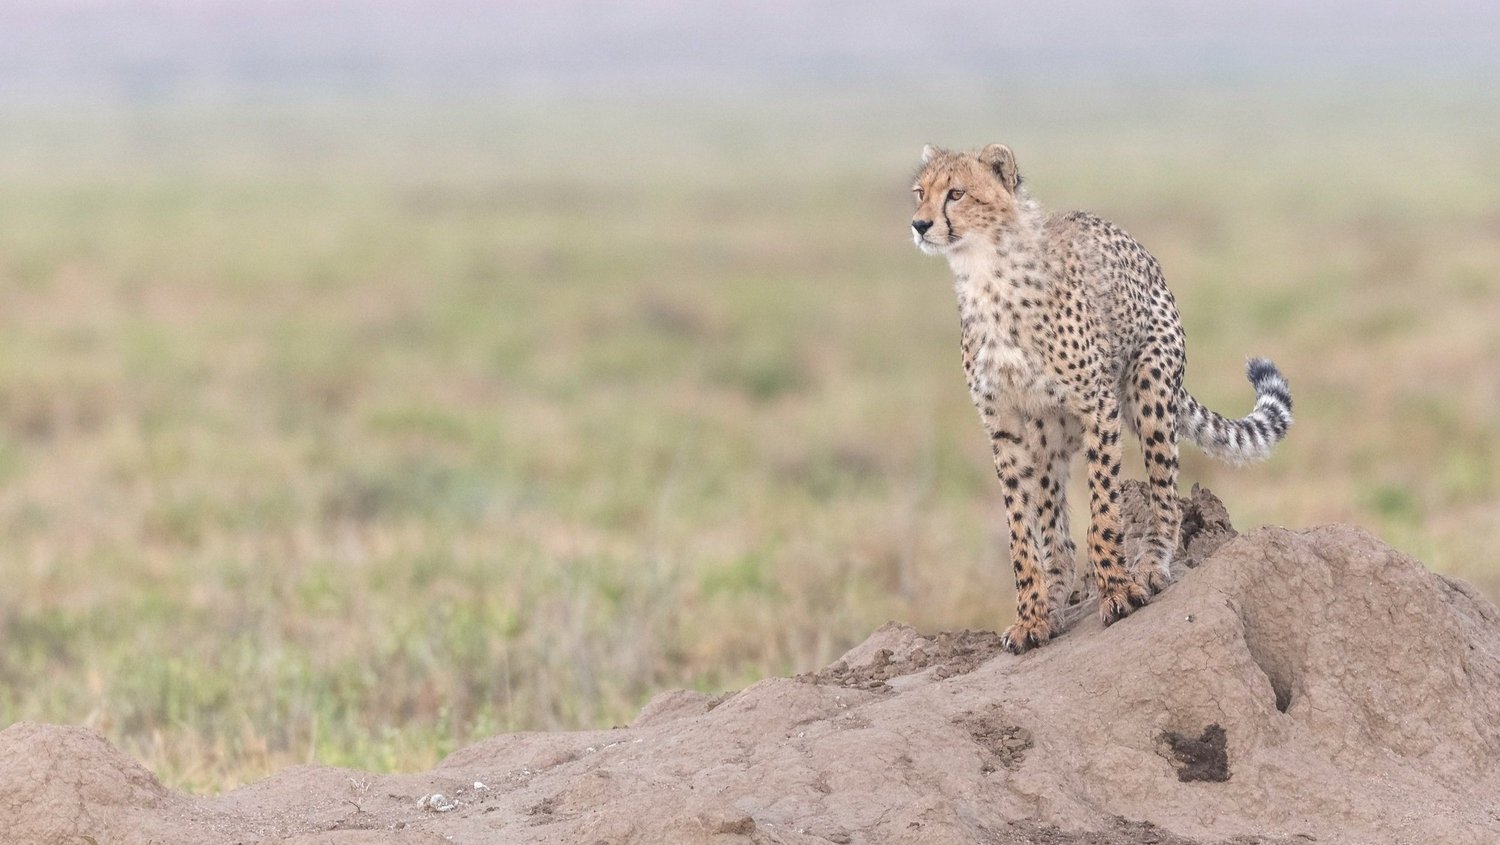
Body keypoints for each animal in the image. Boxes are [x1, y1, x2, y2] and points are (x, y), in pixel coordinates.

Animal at [910, 143, 1293, 653]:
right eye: (920, 192)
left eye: (956, 193)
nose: (920, 224)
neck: (985, 271)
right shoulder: (1004, 426)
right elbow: (1020, 531)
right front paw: (1030, 615)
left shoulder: (1098, 405)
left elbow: (1104, 509)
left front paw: (1116, 590)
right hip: (1046, 434)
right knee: (1057, 533)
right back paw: (1054, 599)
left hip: (1151, 387)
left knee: (1165, 497)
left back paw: (1149, 565)